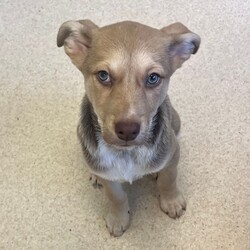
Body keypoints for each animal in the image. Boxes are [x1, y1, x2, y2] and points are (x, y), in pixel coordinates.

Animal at [57, 20, 201, 236]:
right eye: (103, 75)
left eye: (153, 78)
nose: (127, 130)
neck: (127, 154)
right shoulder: (109, 176)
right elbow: (116, 197)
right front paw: (119, 218)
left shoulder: (172, 152)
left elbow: (168, 178)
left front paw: (171, 201)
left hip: (176, 121)